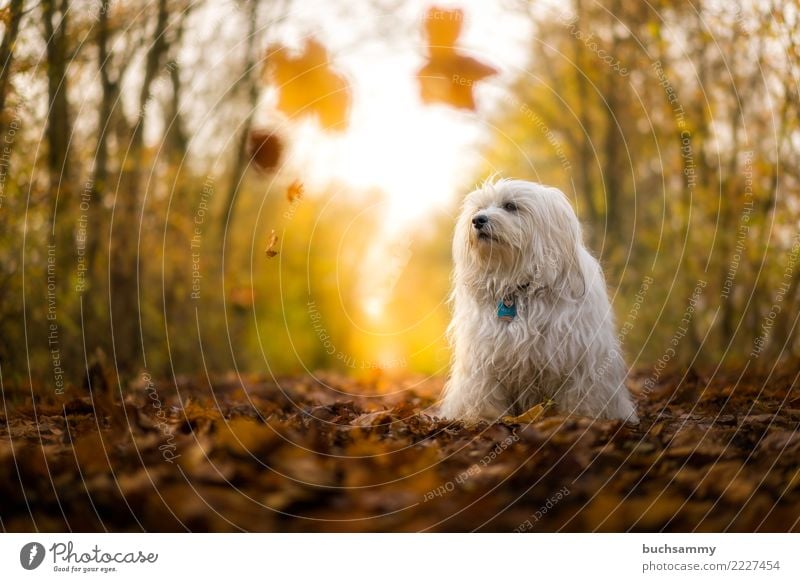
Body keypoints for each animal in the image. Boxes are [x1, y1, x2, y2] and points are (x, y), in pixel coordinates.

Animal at [440, 178, 640, 424]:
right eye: (479, 208)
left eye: (510, 206)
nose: (477, 220)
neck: (517, 287)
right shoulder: (484, 361)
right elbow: (484, 393)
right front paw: (483, 418)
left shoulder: (580, 357)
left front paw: (580, 418)